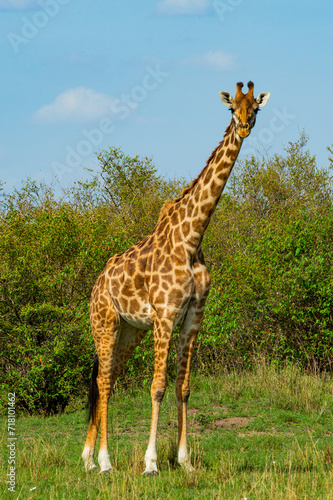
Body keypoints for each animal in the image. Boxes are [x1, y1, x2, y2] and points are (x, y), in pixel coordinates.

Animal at [81, 81, 270, 472]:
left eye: (256, 108)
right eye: (232, 109)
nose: (244, 127)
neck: (192, 237)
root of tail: (97, 284)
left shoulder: (193, 316)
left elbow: (183, 386)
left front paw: (185, 460)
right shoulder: (165, 315)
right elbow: (157, 387)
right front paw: (151, 462)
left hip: (130, 331)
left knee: (106, 378)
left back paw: (88, 458)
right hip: (104, 323)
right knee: (104, 382)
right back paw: (105, 461)